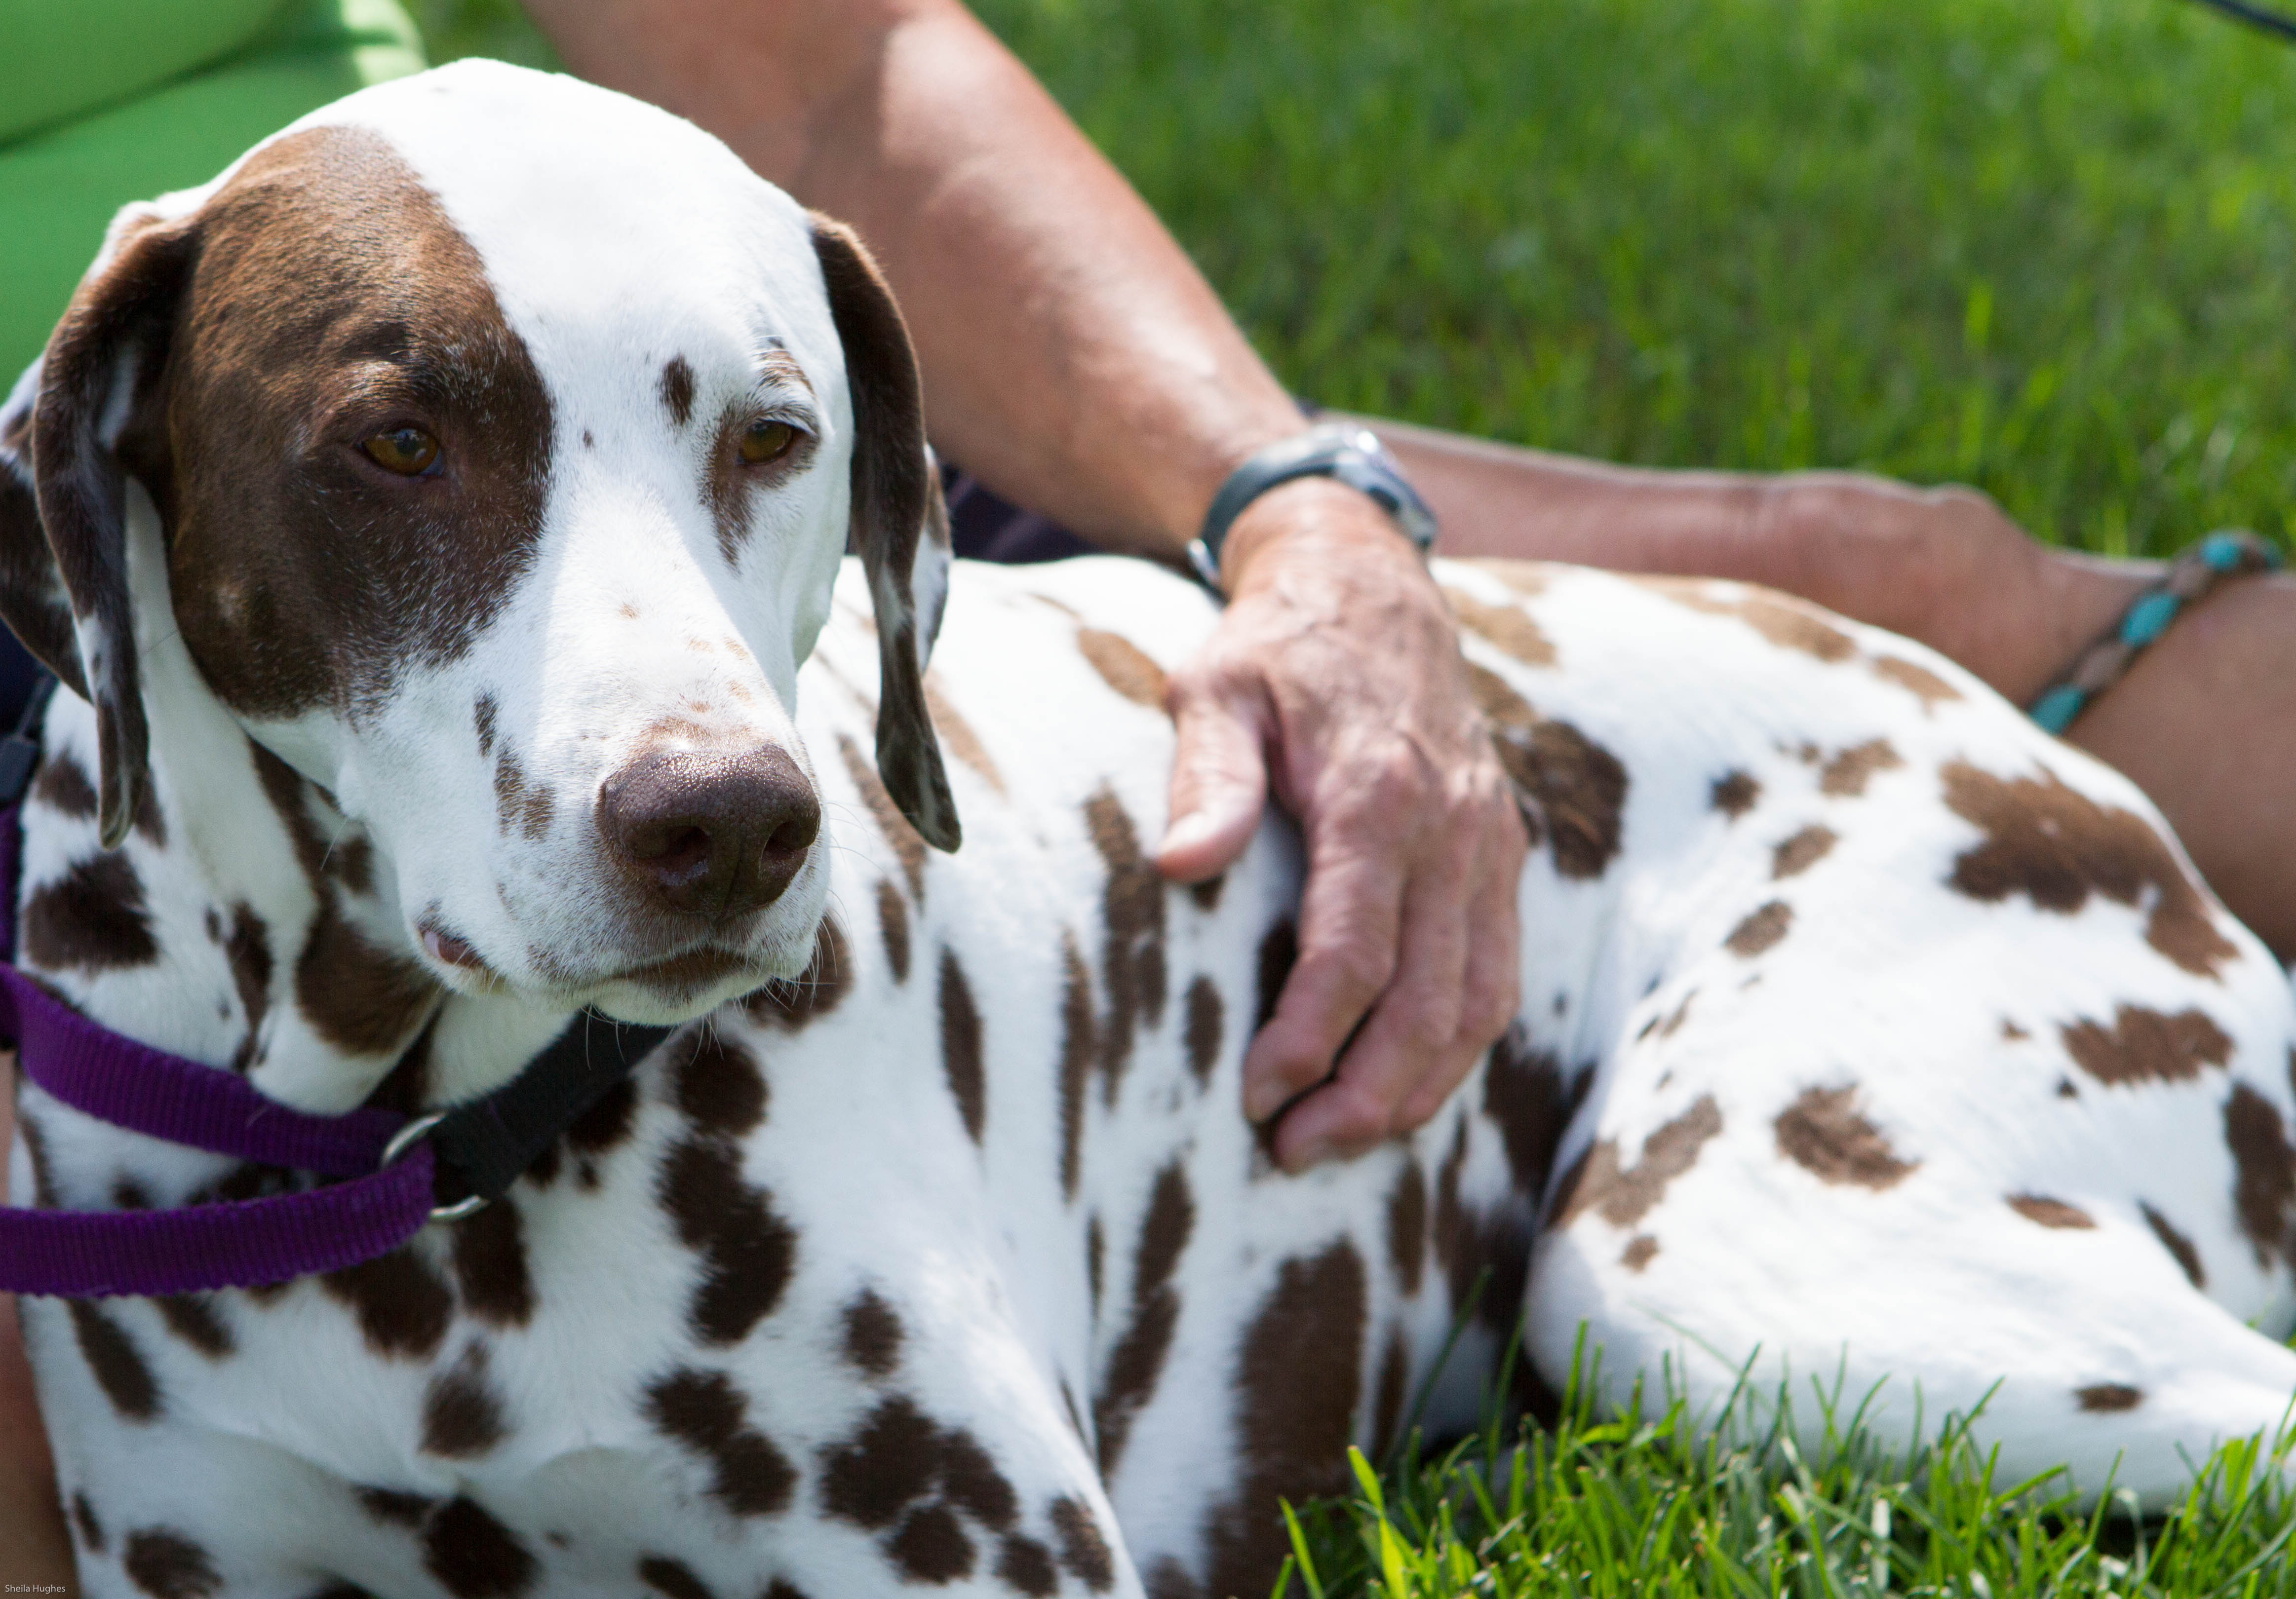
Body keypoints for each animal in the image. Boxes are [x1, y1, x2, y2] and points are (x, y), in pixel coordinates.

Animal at [8, 60, 2296, 1599]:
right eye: (393, 440)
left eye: (773, 434)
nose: (724, 825)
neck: (418, 1177)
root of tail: (2078, 789)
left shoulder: (979, 1553)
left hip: (1725, 1261)